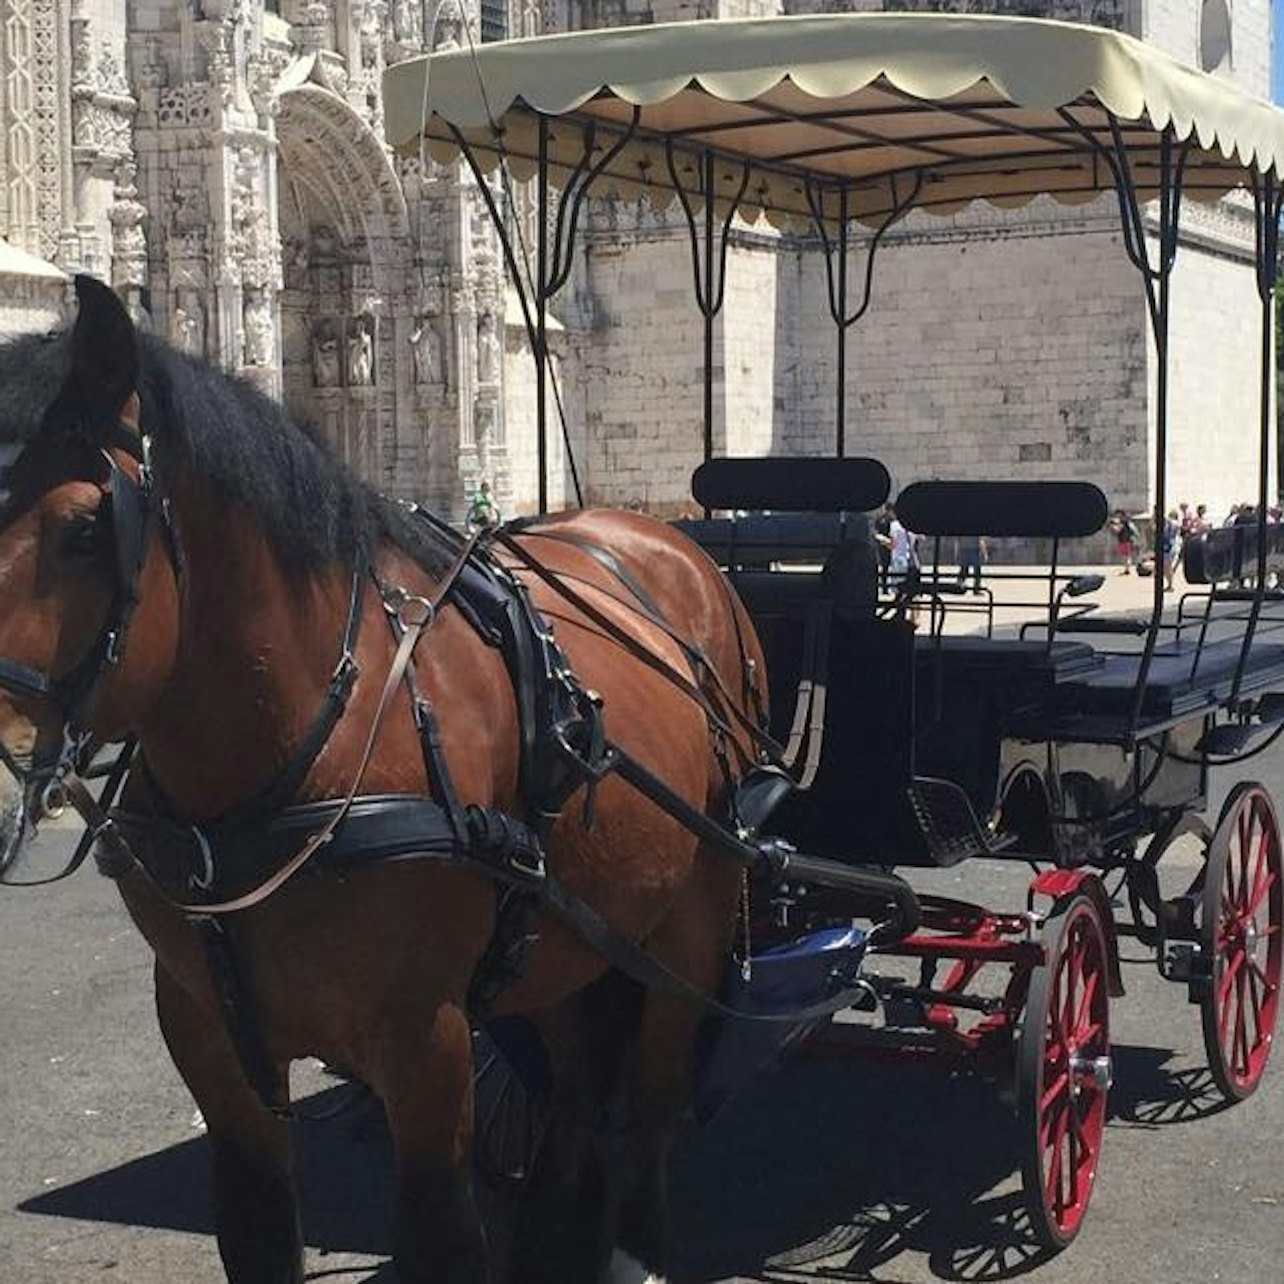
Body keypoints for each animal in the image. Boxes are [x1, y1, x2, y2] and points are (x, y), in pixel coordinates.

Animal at [0, 276, 769, 1284]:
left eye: (88, 527)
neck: (289, 769)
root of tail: (663, 542)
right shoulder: (211, 1046)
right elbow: (258, 1227)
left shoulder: (424, 1045)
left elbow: (441, 1234)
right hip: (572, 936)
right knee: (573, 1105)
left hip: (691, 928)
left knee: (649, 1122)